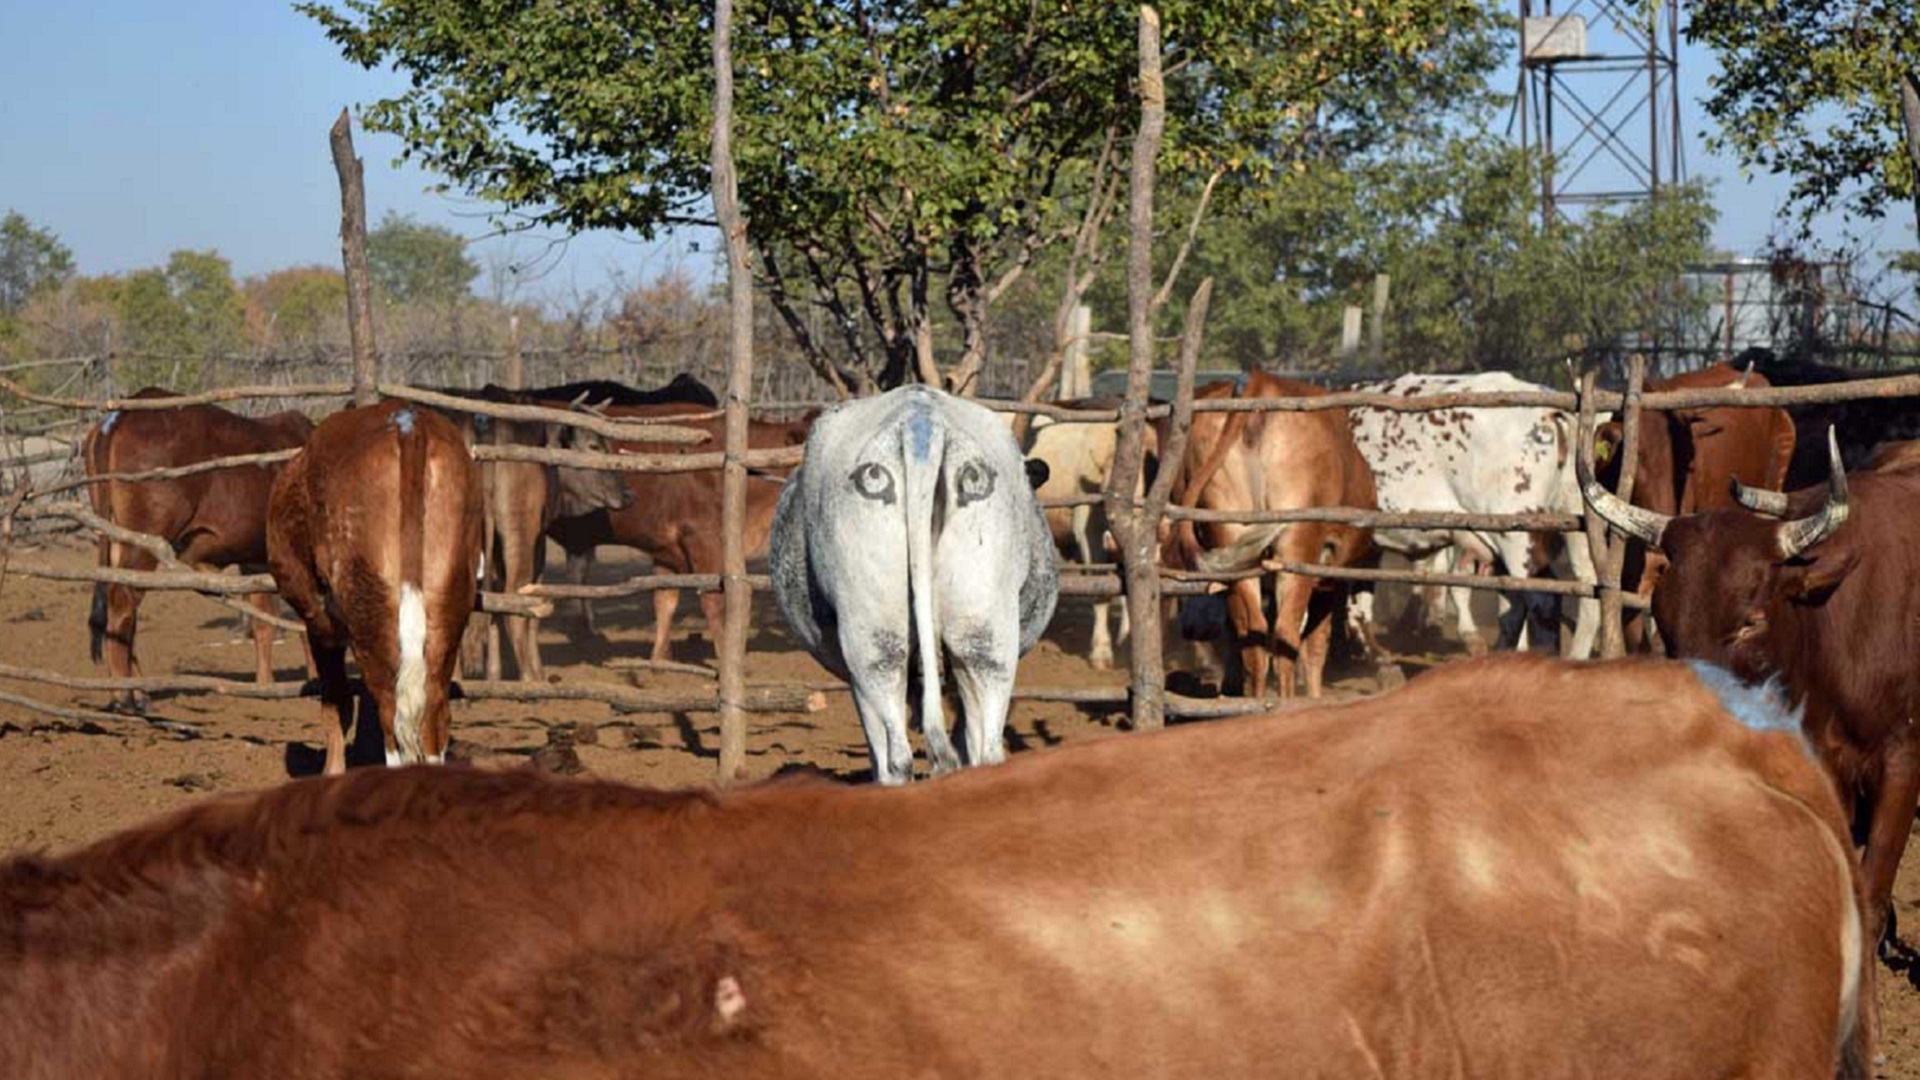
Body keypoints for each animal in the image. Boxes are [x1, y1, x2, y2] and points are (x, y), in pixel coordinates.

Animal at [266, 399, 483, 768]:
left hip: (368, 609)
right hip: (447, 602)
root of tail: (409, 423)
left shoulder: (320, 622)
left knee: (391, 714)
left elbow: (336, 705)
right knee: (434, 715)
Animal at [1159, 372, 1374, 699]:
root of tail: (1259, 381)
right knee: (1285, 636)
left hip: (1231, 535)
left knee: (1254, 637)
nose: (1192, 628)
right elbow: (1316, 645)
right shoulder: (1325, 577)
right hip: (1296, 544)